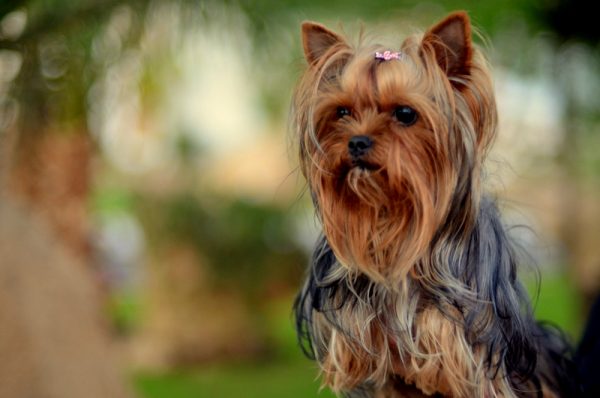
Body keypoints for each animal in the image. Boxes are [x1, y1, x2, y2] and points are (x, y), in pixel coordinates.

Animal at [290, 10, 576, 396]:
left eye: (405, 113)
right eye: (342, 112)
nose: (357, 142)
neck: (393, 220)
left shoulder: (472, 356)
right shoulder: (370, 363)